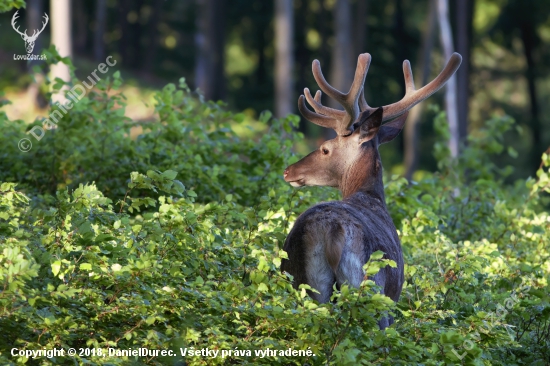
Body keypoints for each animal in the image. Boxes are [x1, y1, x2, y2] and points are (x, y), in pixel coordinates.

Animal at [282, 51, 464, 328]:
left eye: (325, 149)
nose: (288, 171)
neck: (369, 194)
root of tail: (331, 231)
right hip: (372, 289)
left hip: (303, 282)